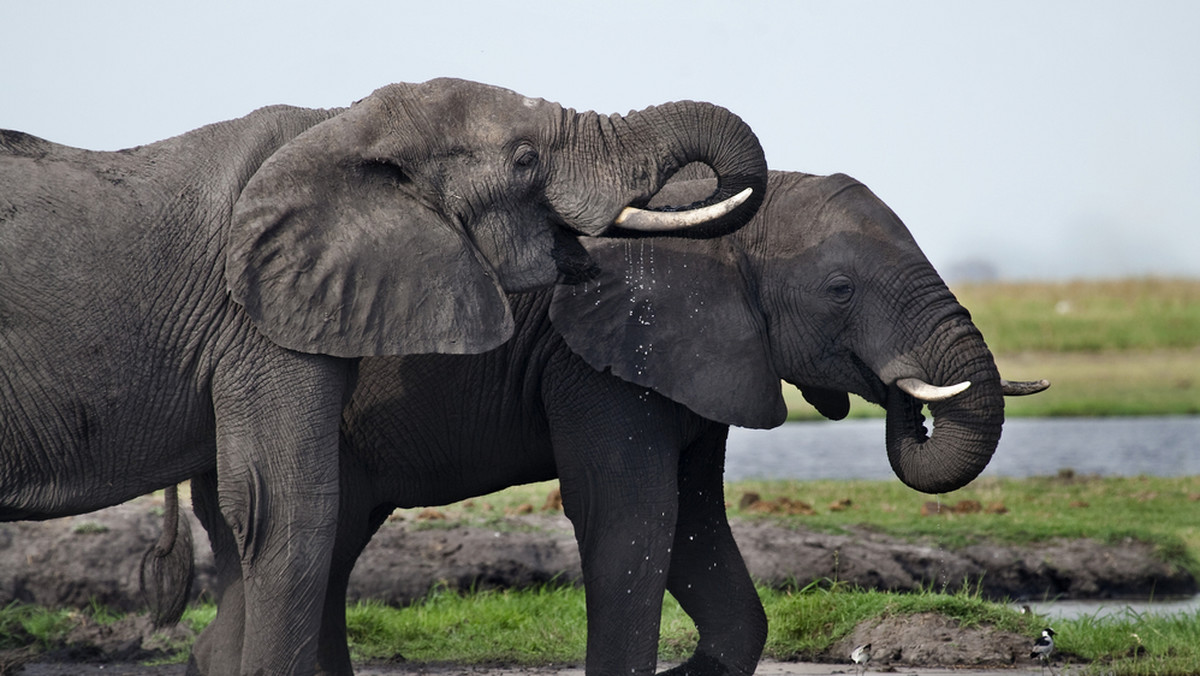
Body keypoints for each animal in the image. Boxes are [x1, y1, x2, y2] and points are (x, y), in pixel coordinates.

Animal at [174, 169, 1046, 676]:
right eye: (839, 290)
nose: (905, 401)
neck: (720, 223)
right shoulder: (597, 357)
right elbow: (633, 517)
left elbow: (694, 526)